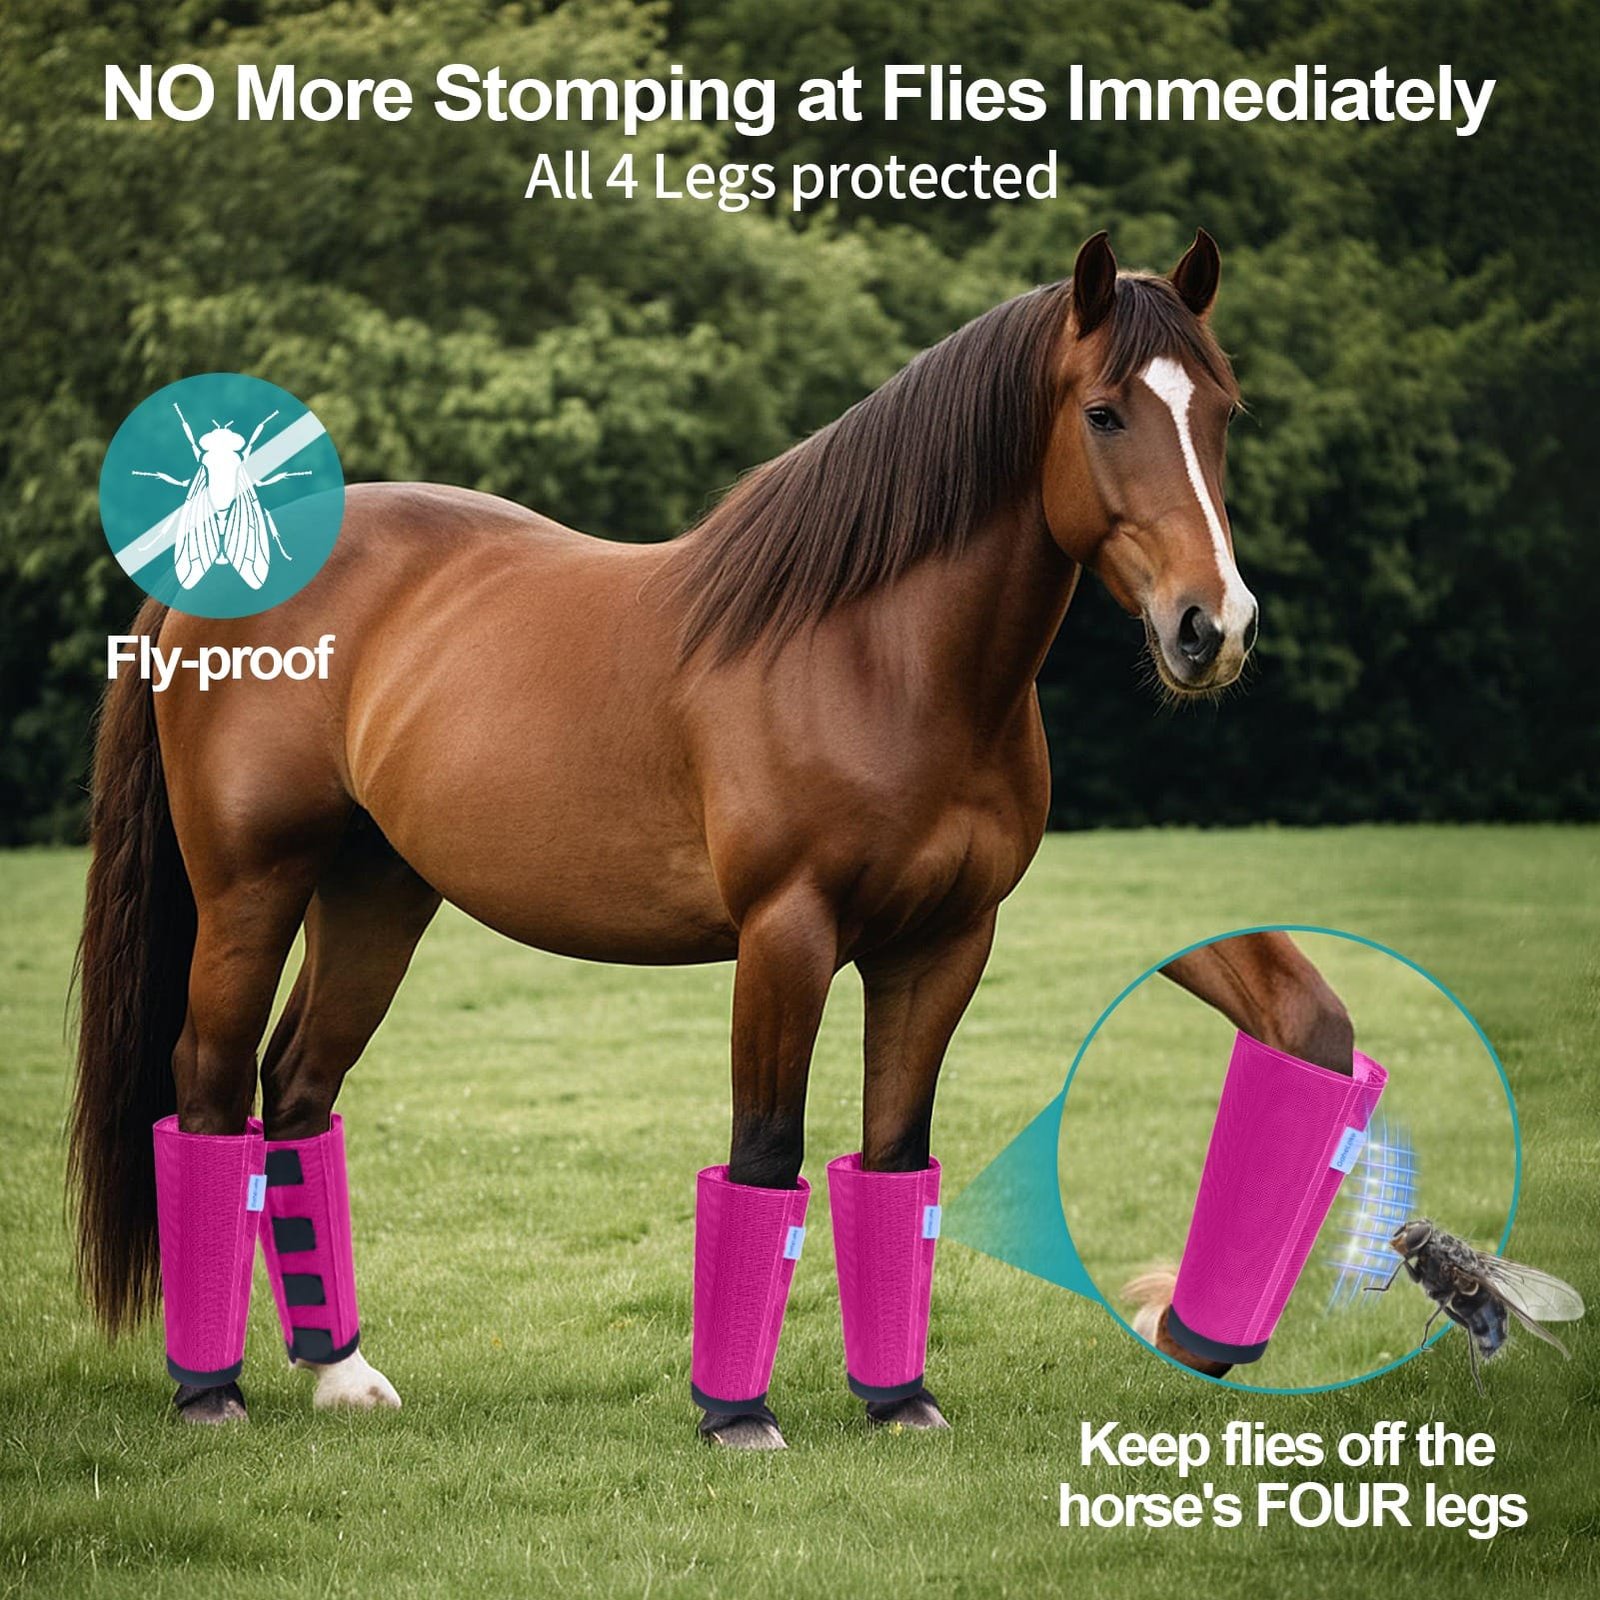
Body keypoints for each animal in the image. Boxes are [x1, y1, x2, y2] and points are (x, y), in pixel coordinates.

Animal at [70, 230, 1354, 1447]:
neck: (879, 659)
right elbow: (766, 1155)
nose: (1213, 627)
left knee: (296, 1088)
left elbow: (894, 1158)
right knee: (207, 1089)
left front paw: (900, 1402)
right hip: (250, 891)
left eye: (1222, 410)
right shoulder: (785, 936)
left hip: (377, 893)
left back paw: (340, 1372)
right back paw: (211, 1391)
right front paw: (739, 1416)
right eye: (1103, 412)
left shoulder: (944, 944)